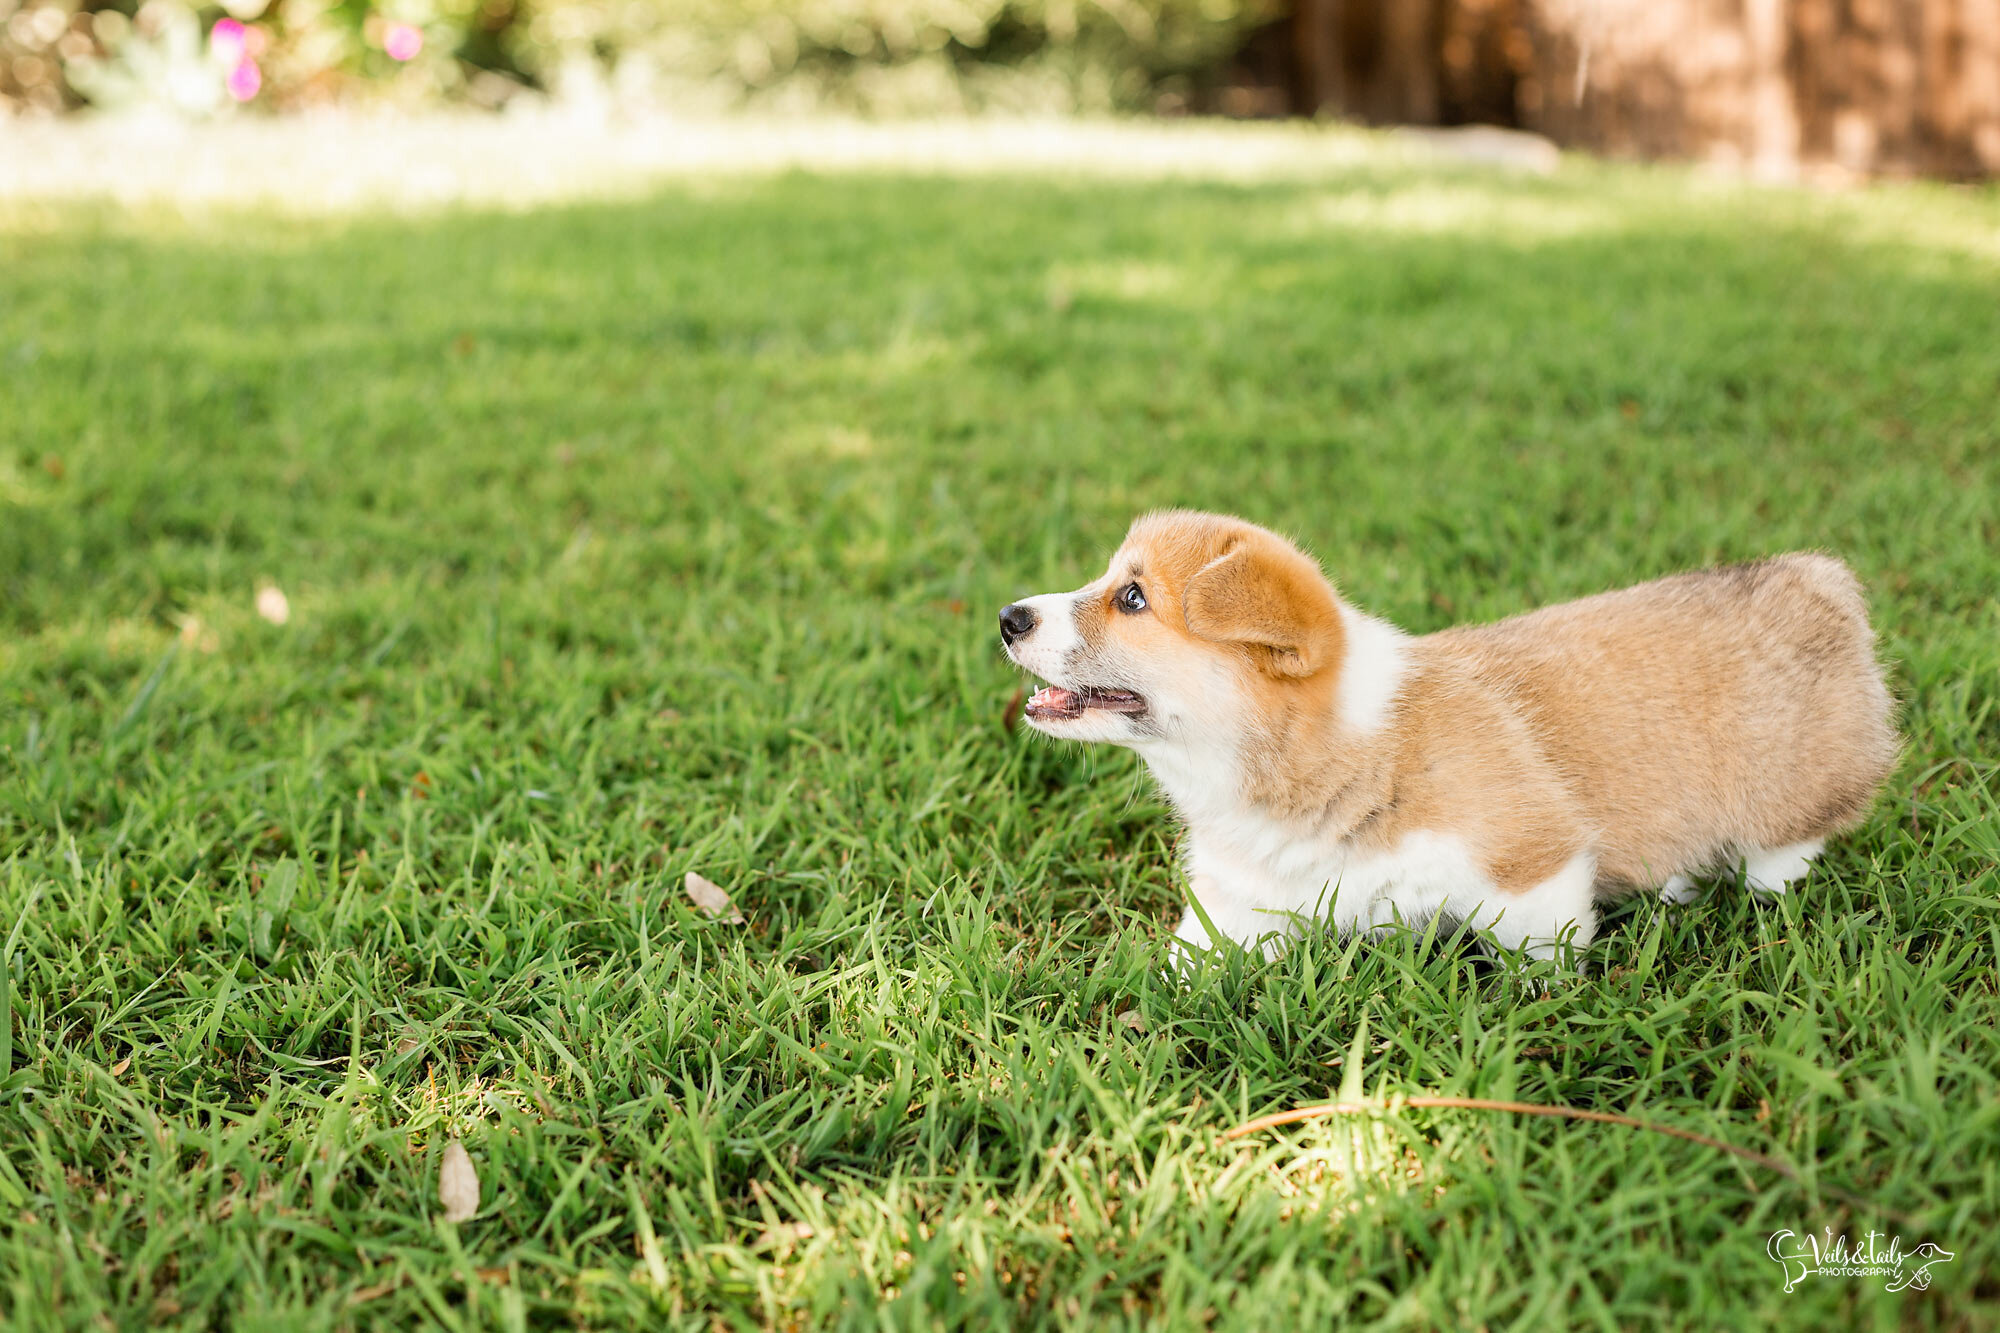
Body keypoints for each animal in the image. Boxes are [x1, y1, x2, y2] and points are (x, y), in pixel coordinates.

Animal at [1008, 510, 1896, 964]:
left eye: (1132, 598)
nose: (1009, 616)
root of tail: (1822, 581)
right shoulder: (1233, 904)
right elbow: (1185, 968)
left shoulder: (1531, 866)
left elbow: (1539, 955)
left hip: (1787, 798)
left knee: (1787, 852)